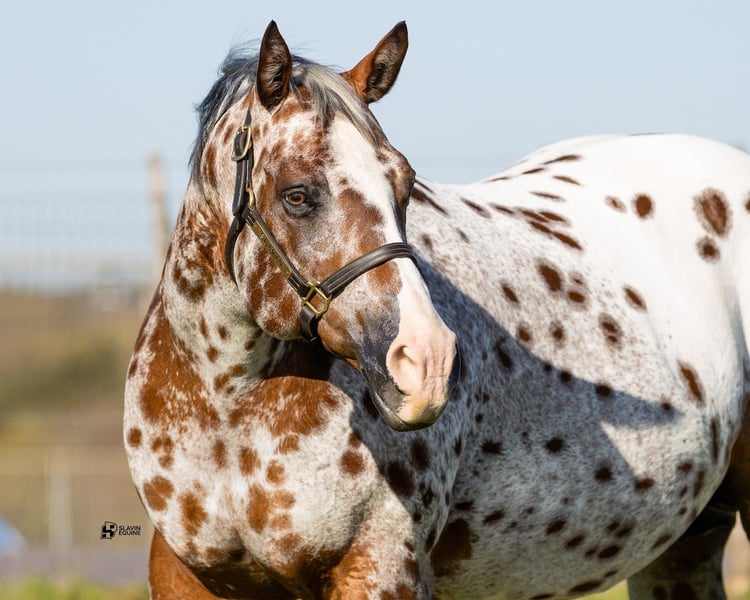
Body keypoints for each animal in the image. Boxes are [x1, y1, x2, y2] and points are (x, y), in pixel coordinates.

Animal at [124, 20, 750, 599]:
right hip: (683, 546)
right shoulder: (183, 575)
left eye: (404, 184)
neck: (226, 404)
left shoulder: (380, 569)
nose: (425, 363)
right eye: (297, 194)